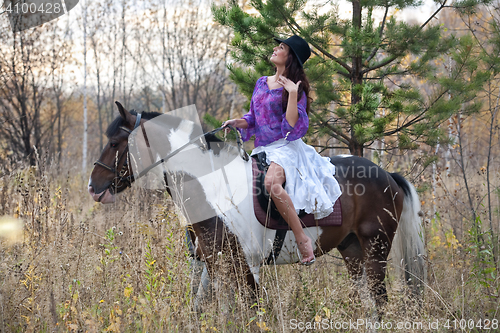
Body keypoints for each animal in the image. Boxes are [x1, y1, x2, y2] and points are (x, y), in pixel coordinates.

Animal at [88, 101, 424, 312]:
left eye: (115, 143)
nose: (94, 186)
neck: (213, 185)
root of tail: (387, 176)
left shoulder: (247, 265)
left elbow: (251, 311)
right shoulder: (214, 264)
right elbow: (207, 309)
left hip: (376, 249)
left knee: (379, 300)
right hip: (352, 249)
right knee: (366, 301)